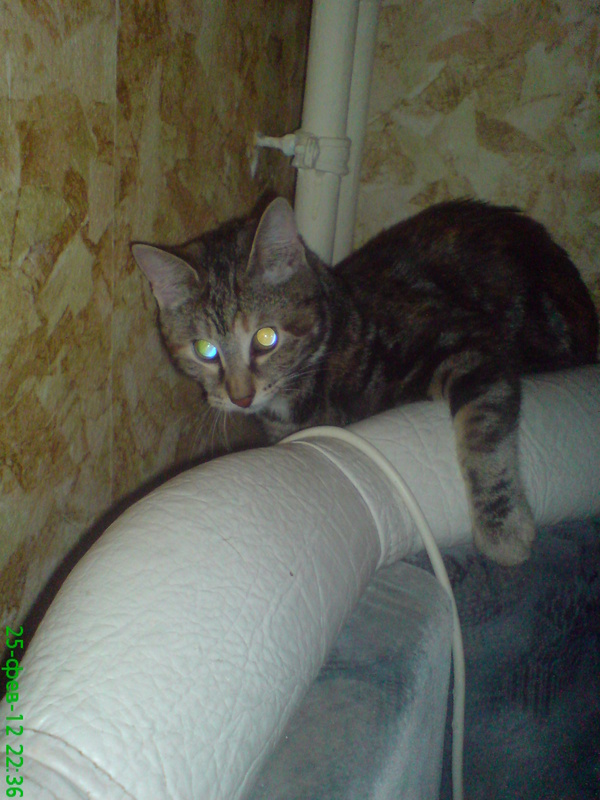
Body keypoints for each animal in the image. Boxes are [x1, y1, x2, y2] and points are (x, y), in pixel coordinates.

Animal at [132, 197, 598, 566]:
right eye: (205, 350)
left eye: (266, 338)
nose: (241, 397)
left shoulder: (469, 342)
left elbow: (482, 434)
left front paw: (503, 531)